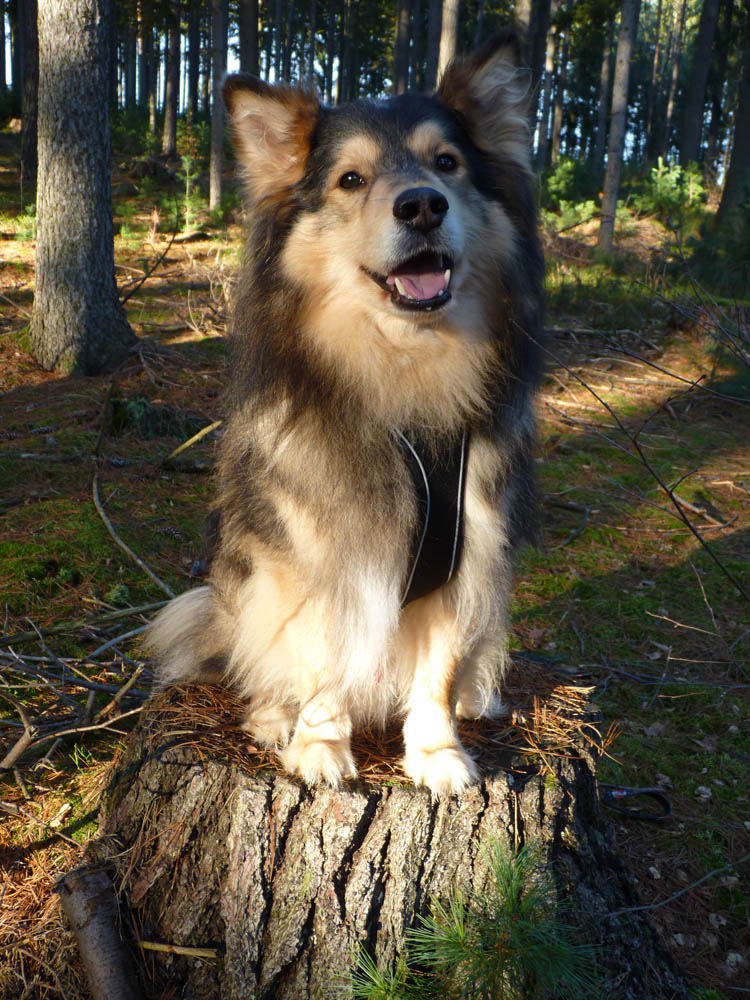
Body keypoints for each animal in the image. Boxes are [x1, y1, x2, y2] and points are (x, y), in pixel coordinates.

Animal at [146, 31, 544, 796]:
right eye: (351, 180)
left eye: (446, 164)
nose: (422, 206)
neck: (404, 374)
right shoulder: (314, 556)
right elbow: (322, 656)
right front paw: (320, 745)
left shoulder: (467, 553)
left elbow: (438, 671)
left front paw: (437, 753)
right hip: (246, 579)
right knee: (261, 661)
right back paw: (275, 717)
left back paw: (477, 701)